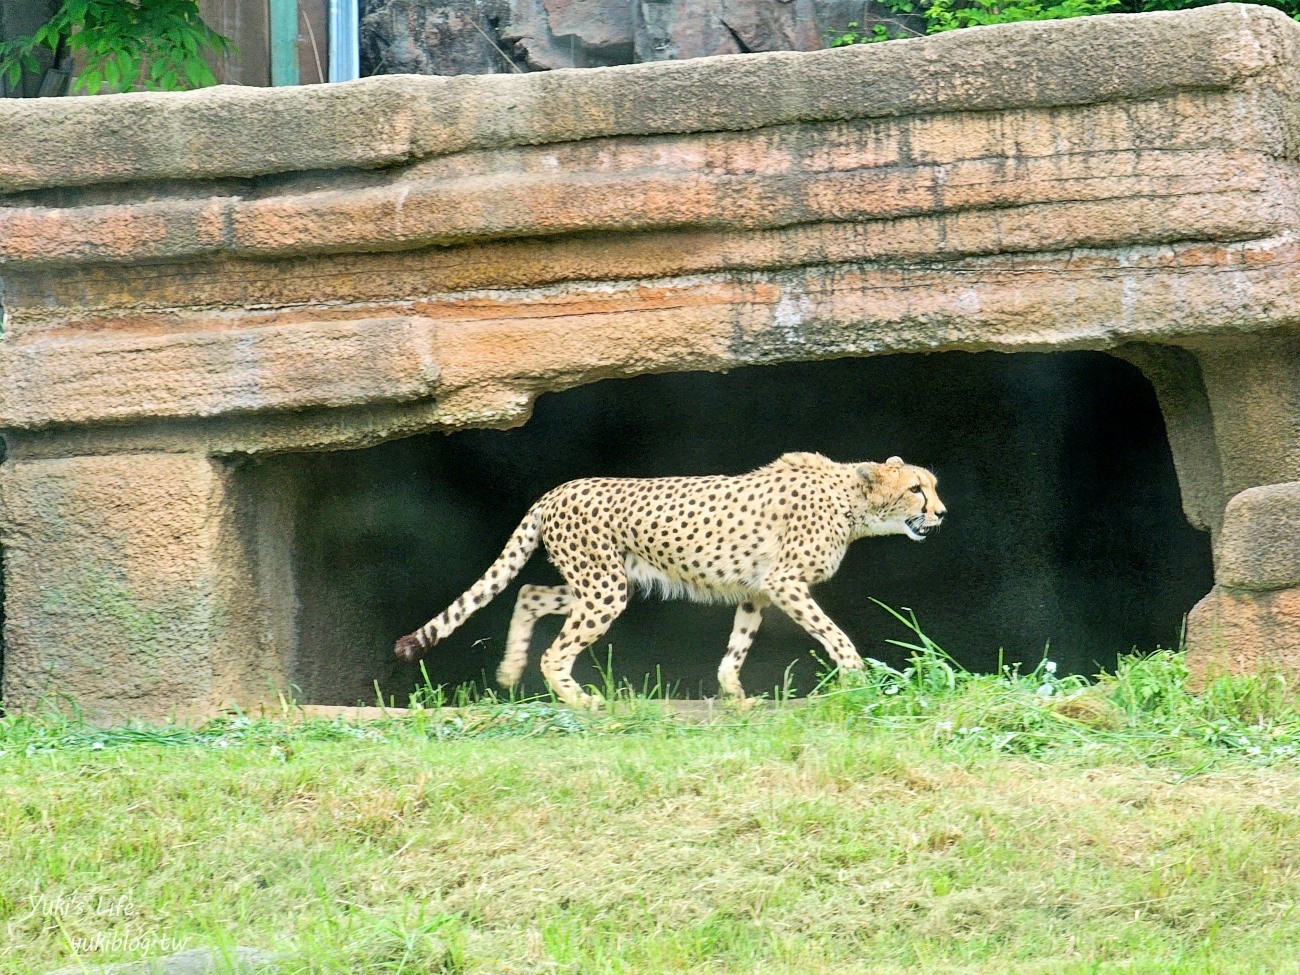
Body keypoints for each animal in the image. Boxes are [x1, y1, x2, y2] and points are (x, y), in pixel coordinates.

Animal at [392, 454, 946, 707]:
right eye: (916, 489)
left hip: (602, 582)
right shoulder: (785, 583)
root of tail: (558, 489)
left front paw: (734, 695)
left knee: (528, 592)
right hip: (604, 588)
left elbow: (738, 645)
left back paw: (509, 671)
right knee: (555, 649)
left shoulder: (758, 591)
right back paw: (581, 701)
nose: (941, 513)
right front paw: (857, 677)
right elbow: (833, 634)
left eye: (932, 487)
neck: (853, 501)